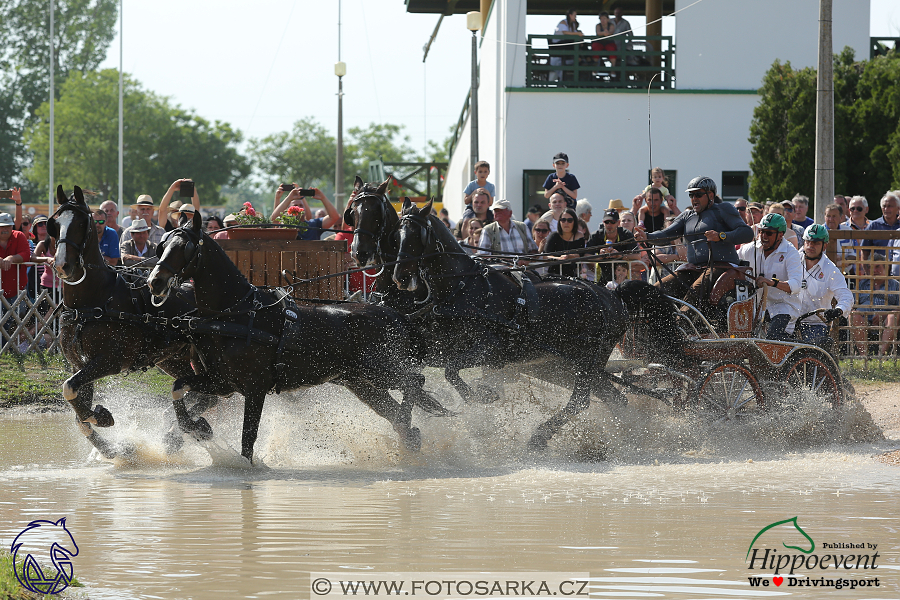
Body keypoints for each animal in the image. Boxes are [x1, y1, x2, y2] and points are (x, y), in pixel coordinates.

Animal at [48, 185, 219, 458]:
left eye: (81, 223)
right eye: (55, 224)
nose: (63, 265)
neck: (92, 301)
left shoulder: (109, 361)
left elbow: (69, 389)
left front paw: (102, 418)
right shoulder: (80, 365)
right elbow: (78, 413)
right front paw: (114, 449)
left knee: (210, 396)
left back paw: (184, 430)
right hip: (173, 359)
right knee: (204, 395)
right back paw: (177, 431)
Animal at [147, 211, 450, 464]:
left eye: (184, 248)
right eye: (163, 246)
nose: (154, 282)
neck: (237, 315)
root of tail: (398, 315)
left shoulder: (255, 387)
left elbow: (248, 438)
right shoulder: (220, 382)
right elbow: (178, 387)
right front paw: (196, 427)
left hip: (380, 370)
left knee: (415, 381)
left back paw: (408, 428)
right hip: (360, 382)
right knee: (395, 405)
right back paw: (408, 434)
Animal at [390, 199, 628, 448]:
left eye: (416, 235)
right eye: (396, 235)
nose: (400, 277)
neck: (464, 287)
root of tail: (612, 298)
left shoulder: (491, 348)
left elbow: (452, 371)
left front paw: (482, 395)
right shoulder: (438, 349)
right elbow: (423, 373)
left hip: (585, 361)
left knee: (581, 400)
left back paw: (540, 436)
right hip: (572, 364)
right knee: (615, 398)